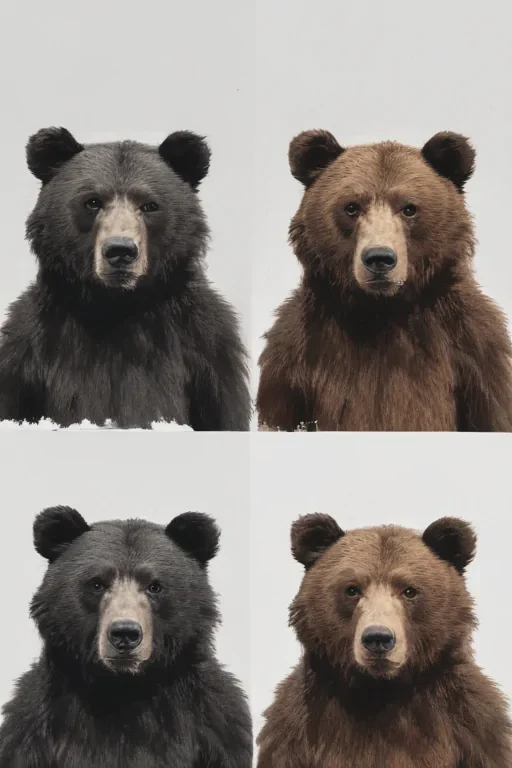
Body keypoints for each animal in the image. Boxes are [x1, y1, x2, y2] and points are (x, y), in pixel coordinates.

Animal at [0, 127, 250, 430]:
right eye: (92, 201)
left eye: (150, 205)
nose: (120, 251)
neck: (117, 305)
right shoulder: (30, 352)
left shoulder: (205, 351)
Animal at [0, 506, 252, 767]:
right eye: (97, 584)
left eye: (155, 586)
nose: (125, 633)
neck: (124, 689)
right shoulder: (35, 733)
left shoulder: (214, 731)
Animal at [257, 130, 512, 431]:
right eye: (351, 207)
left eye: (409, 208)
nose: (379, 258)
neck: (383, 311)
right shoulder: (297, 362)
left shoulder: (474, 355)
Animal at [257, 513, 512, 767]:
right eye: (352, 589)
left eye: (409, 590)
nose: (378, 638)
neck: (382, 690)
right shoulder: (300, 730)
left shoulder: (470, 728)